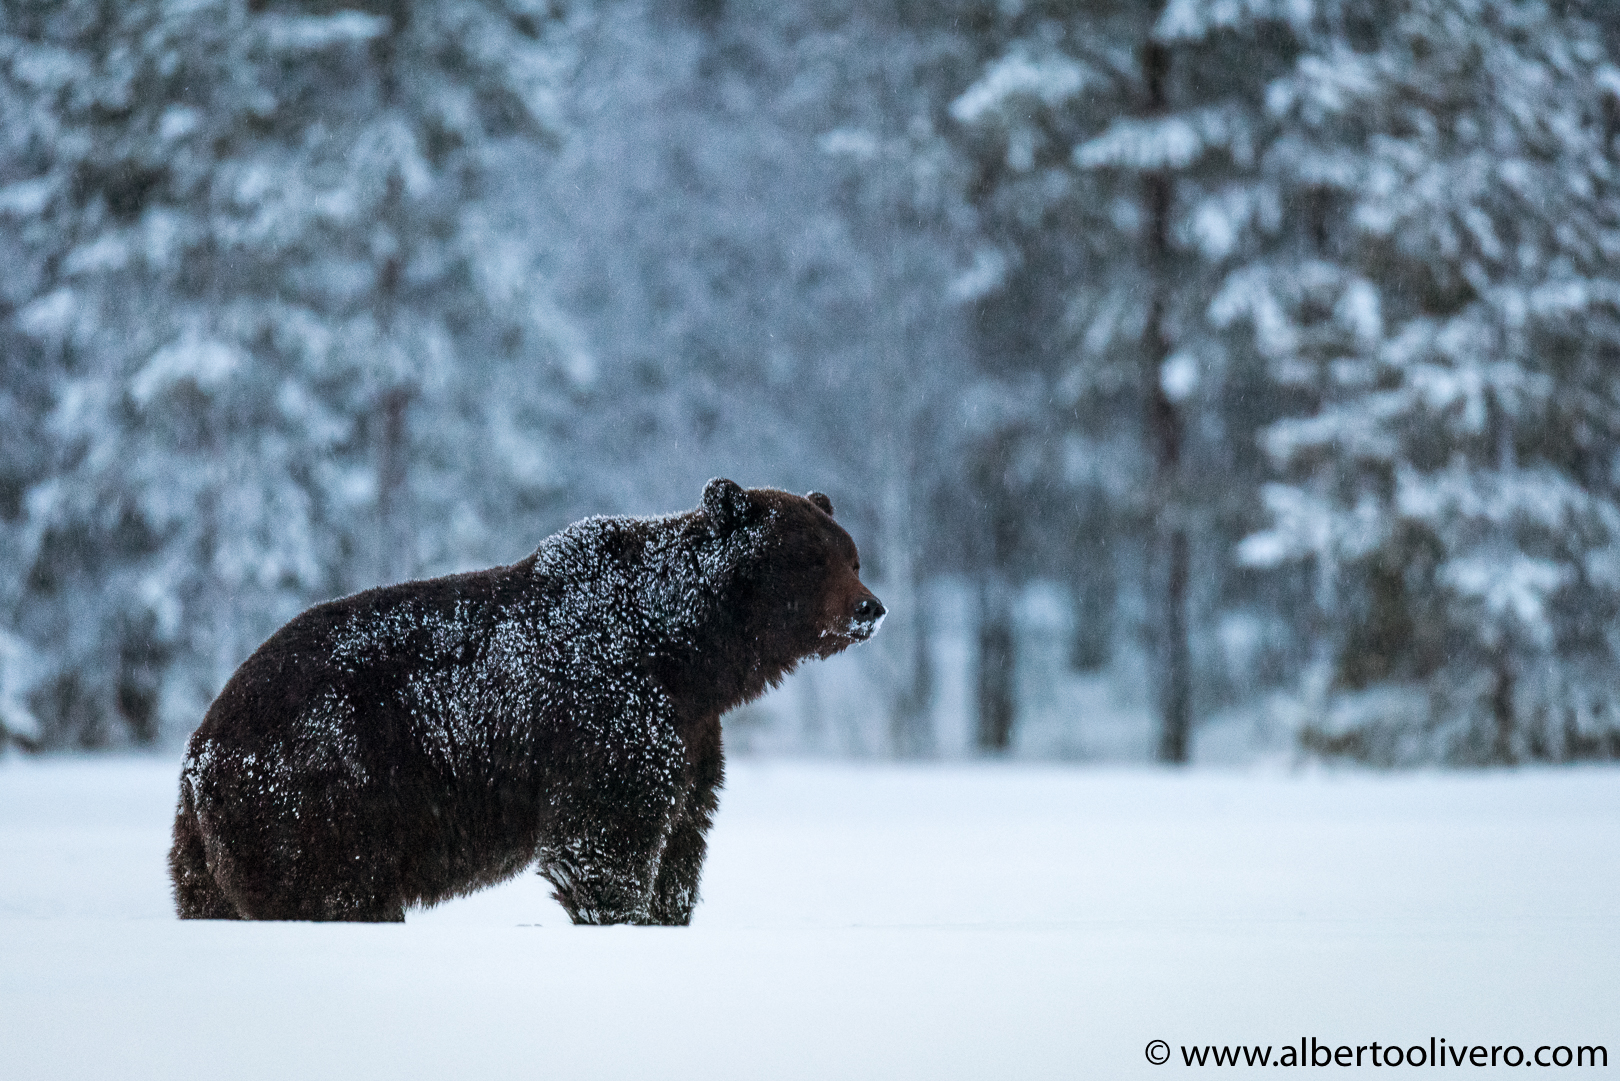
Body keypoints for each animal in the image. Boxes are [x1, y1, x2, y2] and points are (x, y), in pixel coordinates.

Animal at [168, 478, 883, 924]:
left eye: (851, 555)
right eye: (813, 559)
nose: (869, 608)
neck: (684, 650)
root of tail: (201, 746)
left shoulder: (691, 731)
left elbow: (683, 833)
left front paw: (667, 914)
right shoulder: (606, 708)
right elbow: (605, 833)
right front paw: (620, 914)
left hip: (213, 839)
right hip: (324, 787)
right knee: (331, 891)